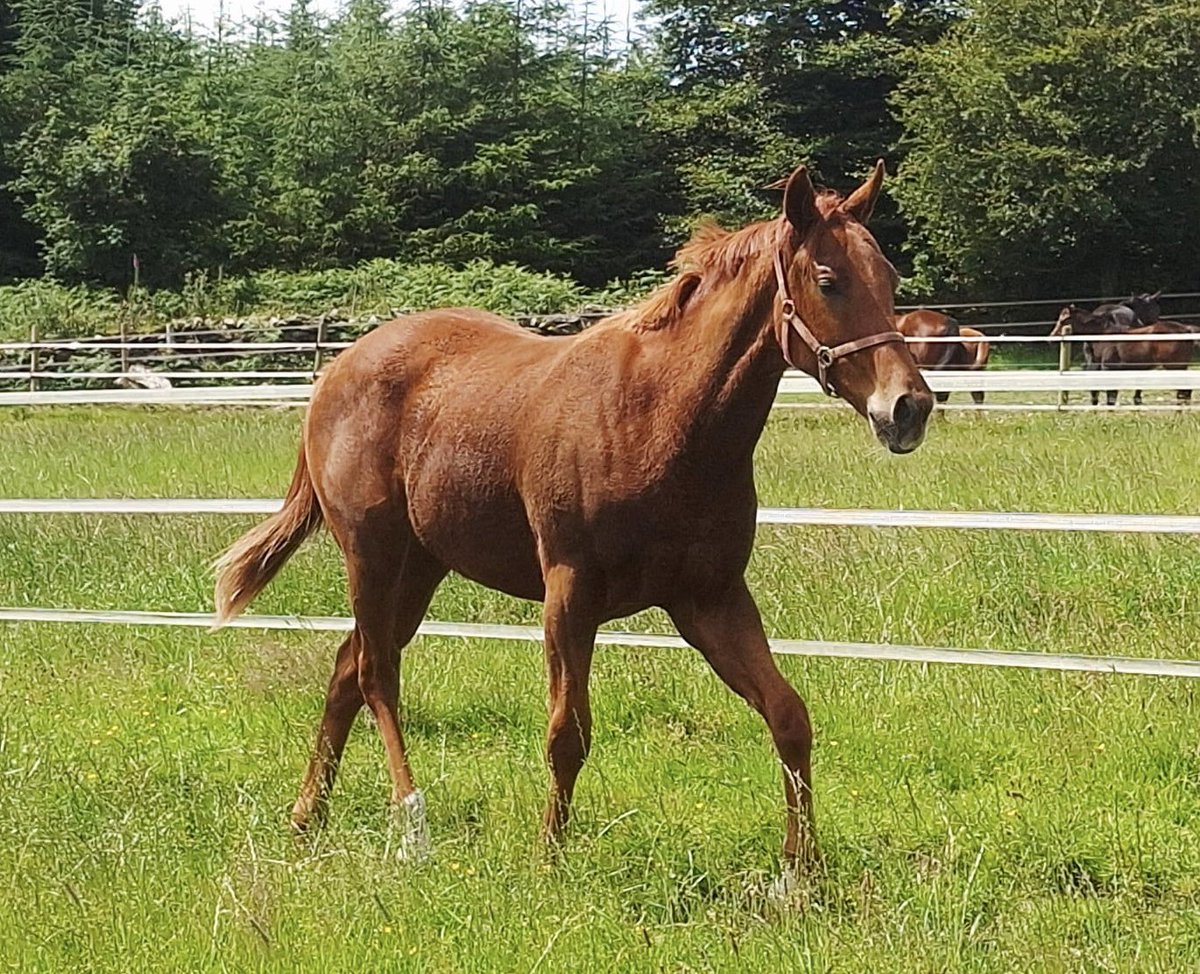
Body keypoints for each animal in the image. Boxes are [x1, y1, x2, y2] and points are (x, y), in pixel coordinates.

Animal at [212, 161, 934, 877]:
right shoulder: (569, 594)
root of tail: (337, 369)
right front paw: (549, 860)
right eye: (828, 281)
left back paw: (307, 819)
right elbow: (568, 732)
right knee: (375, 674)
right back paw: (409, 824)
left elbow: (788, 714)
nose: (909, 408)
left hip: (420, 568)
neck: (658, 418)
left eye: (890, 278)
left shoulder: (710, 600)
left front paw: (801, 869)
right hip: (372, 553)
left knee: (347, 670)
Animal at [1051, 304, 1198, 405]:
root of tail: (1186, 329)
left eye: (1064, 320)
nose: (1052, 337)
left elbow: (1111, 397)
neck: (1103, 335)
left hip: (1175, 366)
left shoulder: (1108, 369)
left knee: (1183, 392)